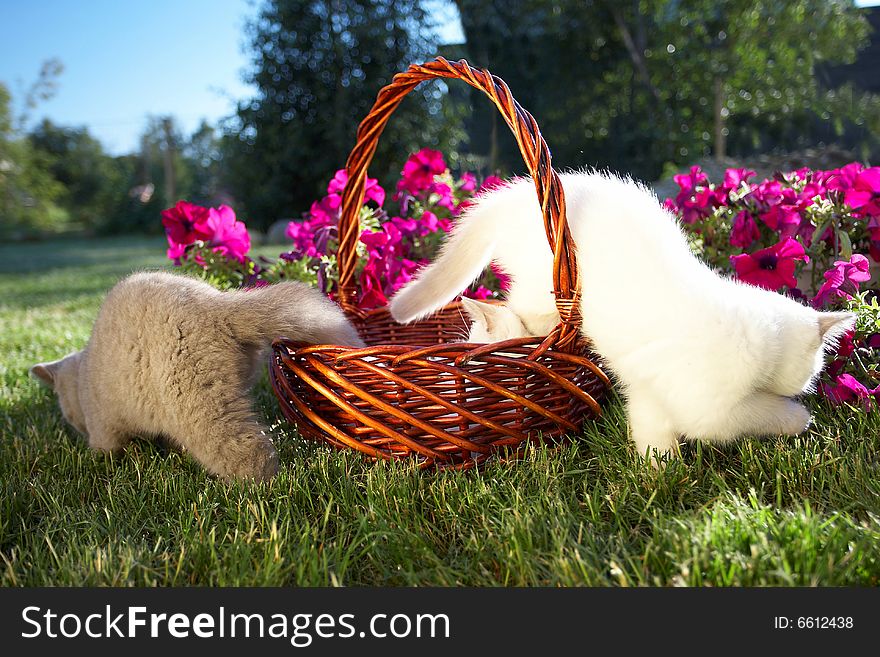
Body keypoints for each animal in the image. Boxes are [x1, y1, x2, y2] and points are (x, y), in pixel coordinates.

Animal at [388, 172, 856, 464]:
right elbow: (759, 414)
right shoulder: (711, 410)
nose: (810, 384)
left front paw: (659, 473)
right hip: (543, 281)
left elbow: (652, 431)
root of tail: (518, 194)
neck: (757, 332)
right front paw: (799, 418)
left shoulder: (651, 391)